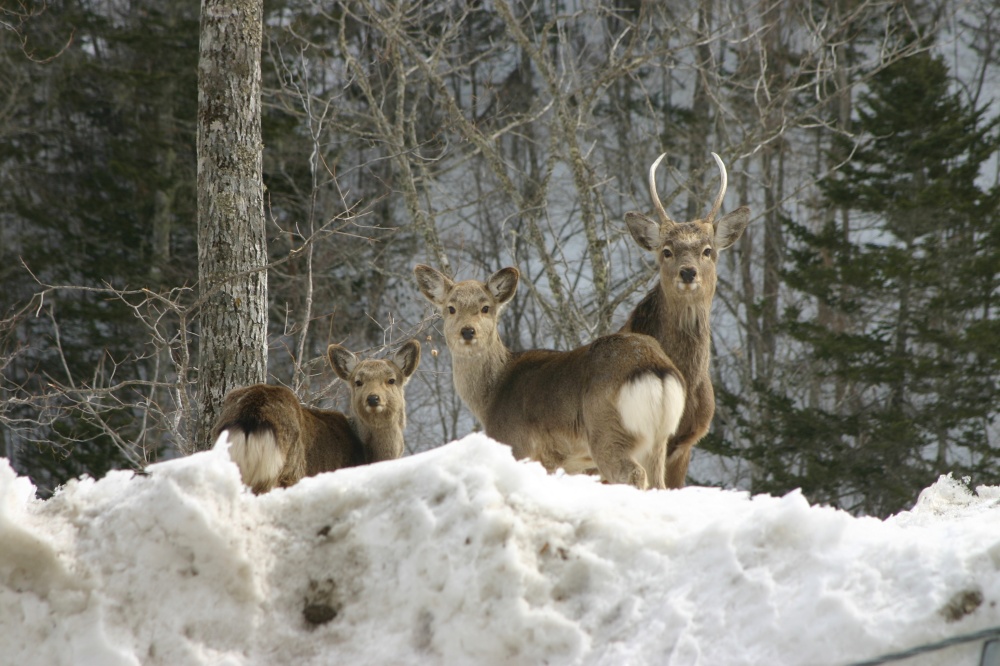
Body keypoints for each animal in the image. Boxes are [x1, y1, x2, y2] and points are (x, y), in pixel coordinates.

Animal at [213, 340, 420, 490]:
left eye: (391, 380)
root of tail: (250, 416)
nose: (373, 398)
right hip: (286, 473)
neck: (369, 457)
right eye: (358, 382)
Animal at [414, 264, 688, 488]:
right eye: (451, 308)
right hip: (658, 440)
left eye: (485, 308)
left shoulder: (518, 445)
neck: (490, 398)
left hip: (608, 430)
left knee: (633, 474)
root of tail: (656, 368)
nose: (468, 331)